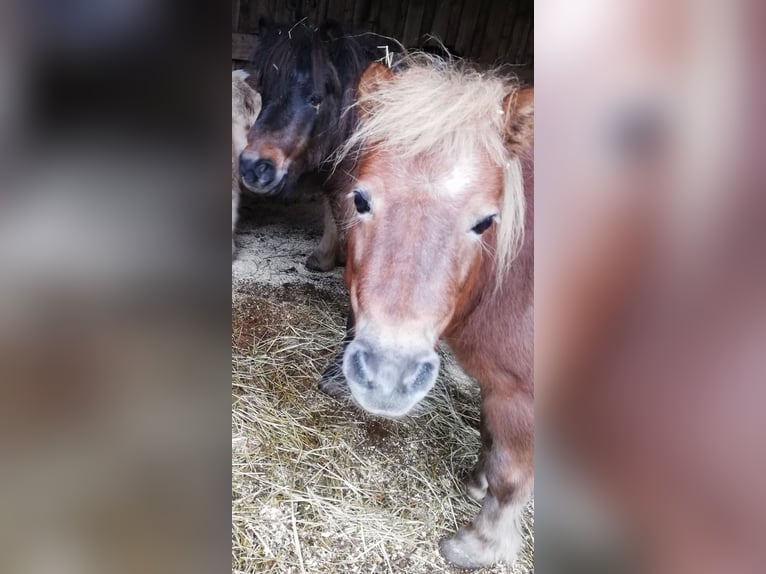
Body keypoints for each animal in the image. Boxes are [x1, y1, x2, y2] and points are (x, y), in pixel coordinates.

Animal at [328, 56, 536, 568]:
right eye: (360, 199)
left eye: (486, 221)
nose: (388, 374)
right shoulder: (497, 384)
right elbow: (489, 438)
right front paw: (476, 482)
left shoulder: (521, 396)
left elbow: (510, 476)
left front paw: (479, 546)